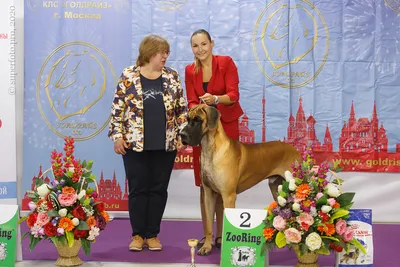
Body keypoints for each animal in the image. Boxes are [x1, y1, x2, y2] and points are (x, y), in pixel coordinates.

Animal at [180, 104, 302, 255]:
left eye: (198, 120)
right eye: (187, 119)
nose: (181, 135)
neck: (210, 148)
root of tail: (294, 149)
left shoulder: (228, 196)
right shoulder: (208, 194)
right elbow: (208, 225)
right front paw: (206, 247)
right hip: (277, 190)